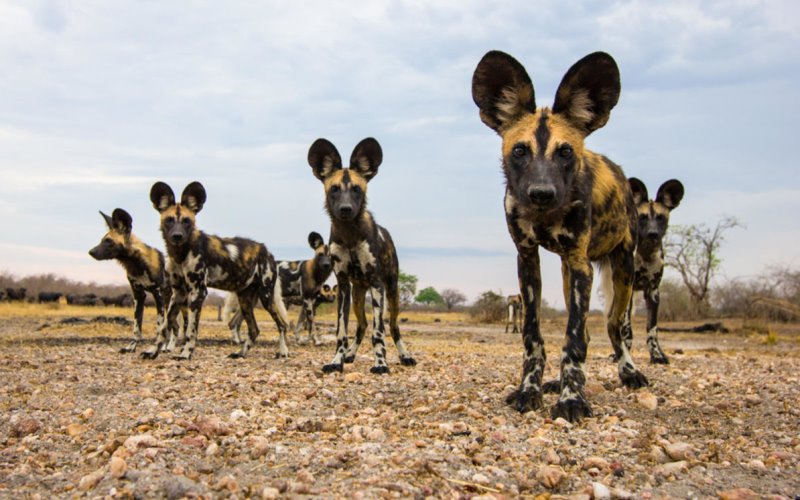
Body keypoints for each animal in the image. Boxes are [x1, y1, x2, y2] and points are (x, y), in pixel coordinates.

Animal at [89, 209, 173, 354]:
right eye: (102, 240)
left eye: (109, 241)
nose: (91, 252)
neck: (137, 264)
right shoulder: (138, 295)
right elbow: (136, 327)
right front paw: (132, 347)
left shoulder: (159, 296)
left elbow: (159, 328)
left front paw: (153, 349)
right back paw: (167, 347)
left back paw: (169, 346)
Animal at [144, 182, 290, 362]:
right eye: (169, 220)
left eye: (186, 221)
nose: (177, 236)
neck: (180, 253)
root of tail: (268, 252)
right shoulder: (178, 293)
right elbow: (164, 327)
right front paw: (153, 351)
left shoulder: (198, 292)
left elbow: (191, 330)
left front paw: (185, 353)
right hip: (245, 300)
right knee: (254, 330)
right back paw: (240, 353)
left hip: (266, 297)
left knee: (282, 325)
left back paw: (283, 352)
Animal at [308, 139, 418, 374]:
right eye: (334, 189)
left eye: (357, 189)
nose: (346, 209)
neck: (350, 234)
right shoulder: (342, 287)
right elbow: (342, 332)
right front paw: (337, 361)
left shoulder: (377, 284)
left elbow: (379, 332)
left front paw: (381, 364)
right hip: (358, 295)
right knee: (362, 325)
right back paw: (349, 355)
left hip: (392, 291)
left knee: (393, 327)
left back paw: (405, 356)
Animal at [472, 50, 648, 420]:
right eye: (520, 151)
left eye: (565, 152)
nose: (541, 193)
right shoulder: (528, 261)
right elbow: (533, 337)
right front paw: (530, 390)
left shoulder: (581, 263)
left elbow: (574, 340)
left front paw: (572, 400)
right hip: (569, 277)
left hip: (621, 271)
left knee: (615, 328)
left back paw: (629, 372)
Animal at [628, 179, 684, 364]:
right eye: (642, 218)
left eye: (661, 218)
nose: (653, 234)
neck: (645, 254)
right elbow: (626, 328)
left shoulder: (652, 292)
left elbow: (652, 329)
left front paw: (657, 355)